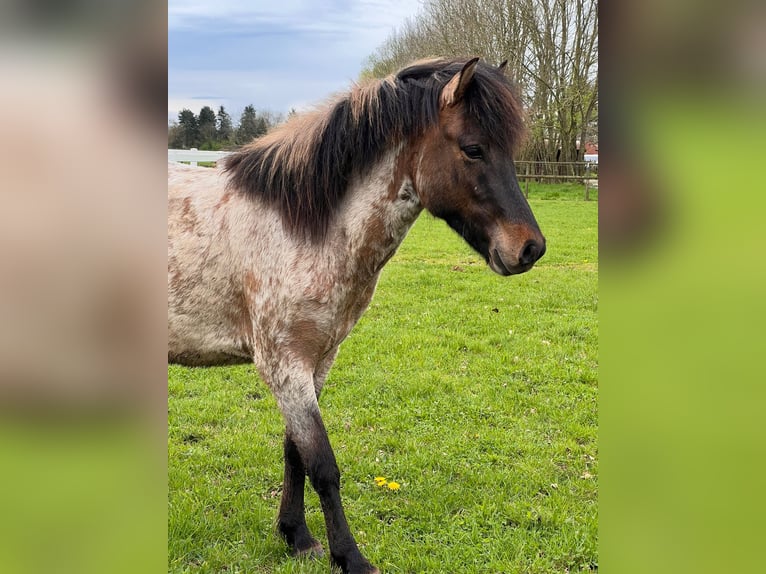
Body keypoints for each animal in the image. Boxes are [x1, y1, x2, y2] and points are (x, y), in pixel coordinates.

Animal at [168, 57, 546, 574]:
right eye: (473, 148)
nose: (530, 248)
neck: (303, 226)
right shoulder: (284, 365)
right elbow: (322, 464)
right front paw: (349, 556)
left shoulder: (317, 361)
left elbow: (295, 453)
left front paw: (297, 536)